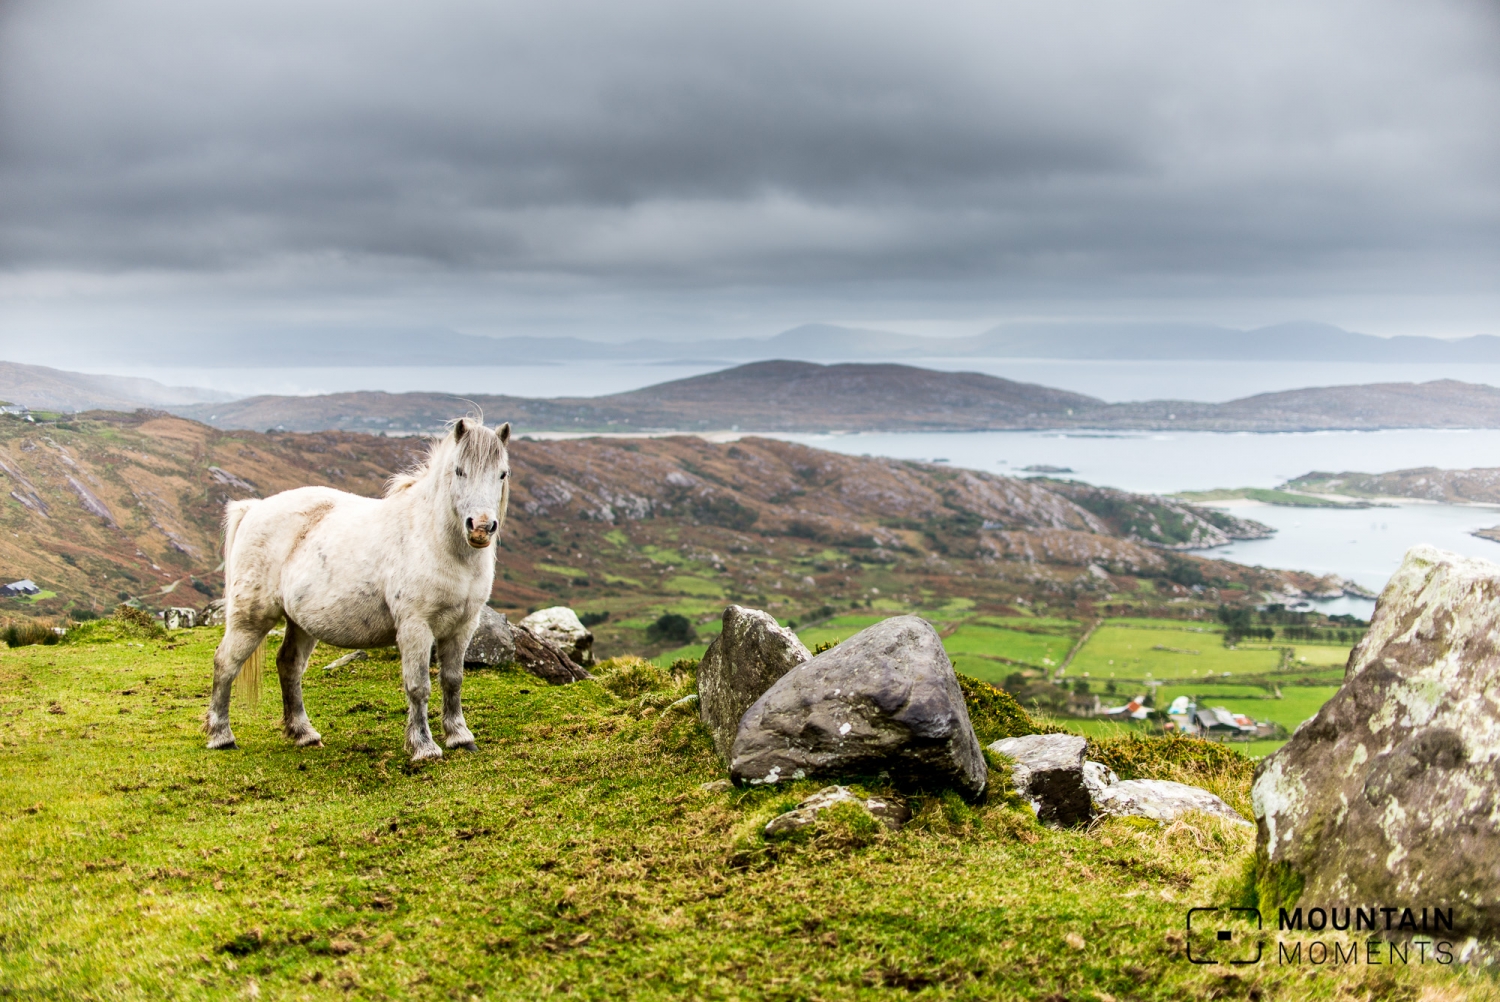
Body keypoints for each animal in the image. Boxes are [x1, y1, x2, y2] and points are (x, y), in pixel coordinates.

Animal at [205, 417, 513, 759]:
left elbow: (453, 680)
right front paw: (423, 746)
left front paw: (460, 736)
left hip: (300, 623)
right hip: (251, 617)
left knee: (288, 665)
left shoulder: (463, 626)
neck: (435, 540)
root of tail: (254, 508)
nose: (481, 528)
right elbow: (418, 686)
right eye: (459, 470)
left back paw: (304, 733)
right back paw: (221, 736)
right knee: (225, 663)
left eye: (502, 473)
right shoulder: (415, 626)